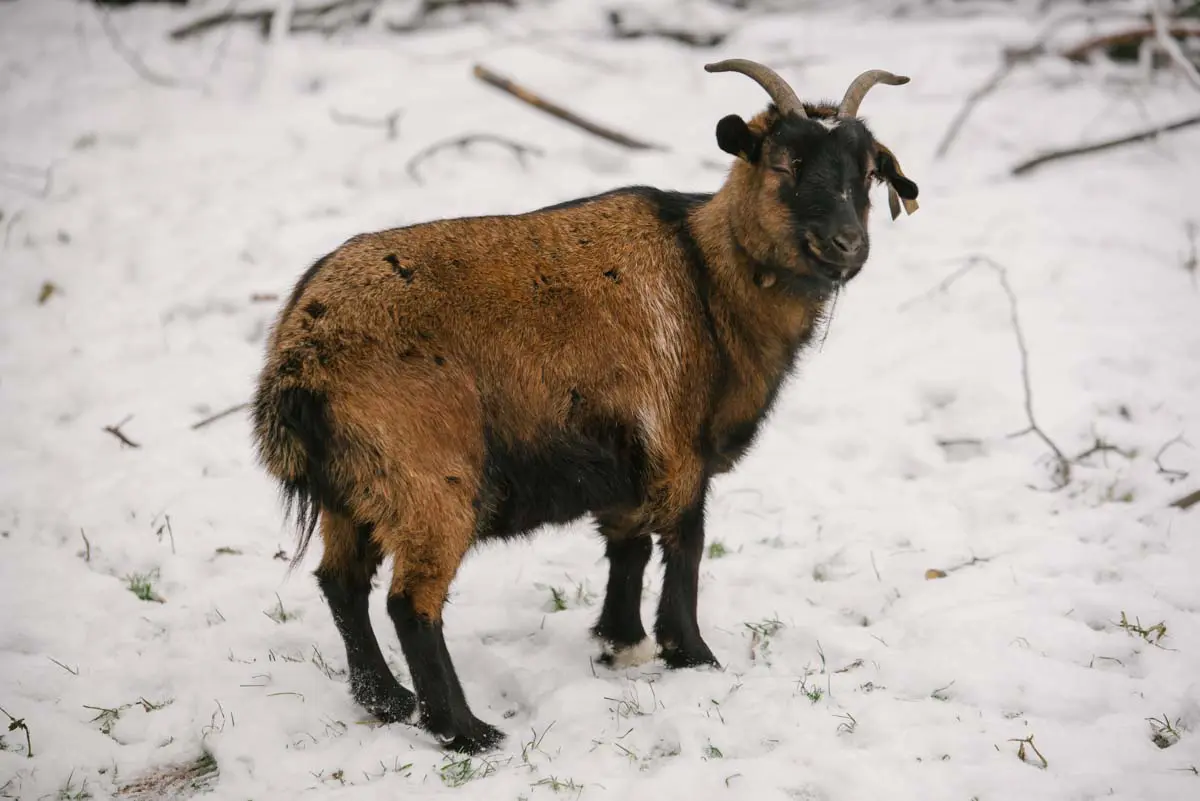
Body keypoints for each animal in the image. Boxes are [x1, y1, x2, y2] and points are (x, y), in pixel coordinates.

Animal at [252, 59, 920, 754]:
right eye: (785, 163)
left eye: (868, 172)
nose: (847, 244)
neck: (707, 278)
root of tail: (299, 356)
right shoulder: (677, 444)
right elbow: (685, 543)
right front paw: (693, 654)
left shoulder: (625, 453)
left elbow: (628, 545)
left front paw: (620, 641)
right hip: (430, 480)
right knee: (410, 603)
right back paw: (466, 731)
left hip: (353, 490)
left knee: (342, 584)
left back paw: (386, 701)